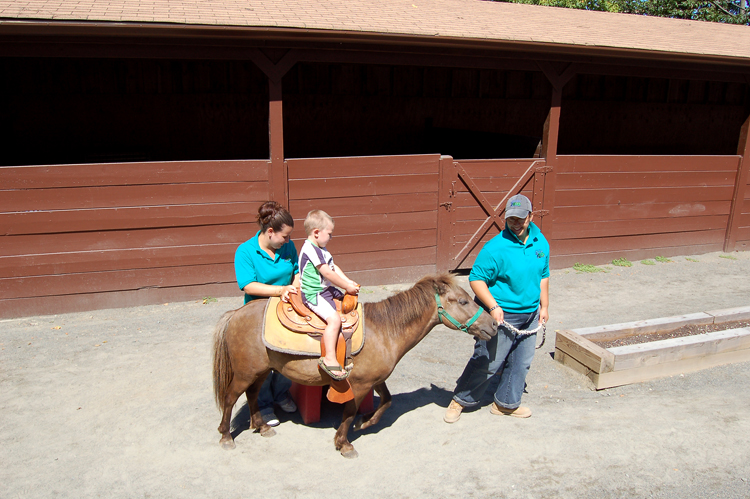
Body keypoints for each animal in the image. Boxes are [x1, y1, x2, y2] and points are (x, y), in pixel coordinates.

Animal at [212, 276, 496, 458]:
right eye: (462, 301)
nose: (493, 324)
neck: (384, 330)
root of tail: (236, 313)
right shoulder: (359, 385)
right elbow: (348, 412)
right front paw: (344, 443)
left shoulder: (376, 380)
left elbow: (387, 401)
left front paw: (365, 422)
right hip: (245, 372)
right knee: (230, 398)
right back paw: (226, 437)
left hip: (259, 371)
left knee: (251, 396)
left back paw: (261, 427)